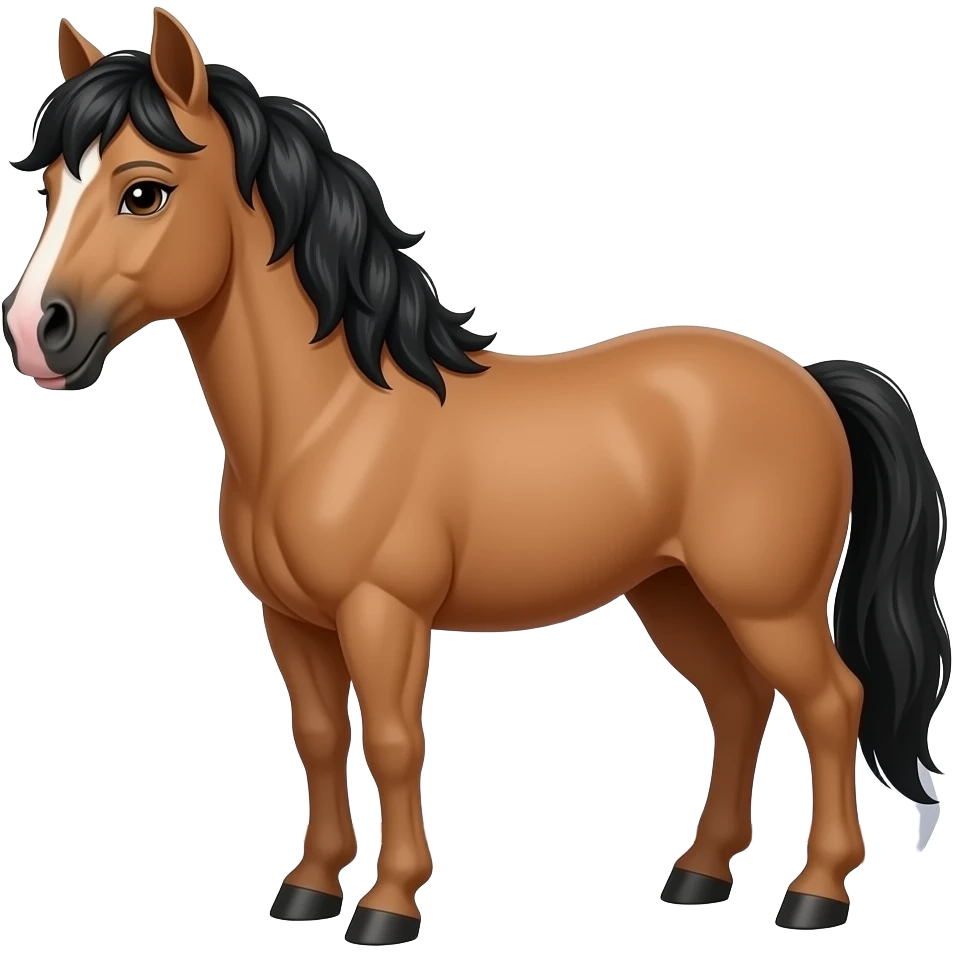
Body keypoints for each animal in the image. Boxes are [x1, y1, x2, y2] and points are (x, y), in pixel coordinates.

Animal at [2, 11, 949, 942]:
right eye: (49, 186)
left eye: (144, 191)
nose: (35, 332)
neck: (330, 417)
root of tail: (808, 381)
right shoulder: (291, 619)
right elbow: (318, 736)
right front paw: (307, 889)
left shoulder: (383, 612)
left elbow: (391, 741)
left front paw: (387, 904)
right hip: (676, 592)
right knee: (738, 702)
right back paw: (698, 873)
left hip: (766, 601)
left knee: (831, 703)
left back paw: (815, 892)